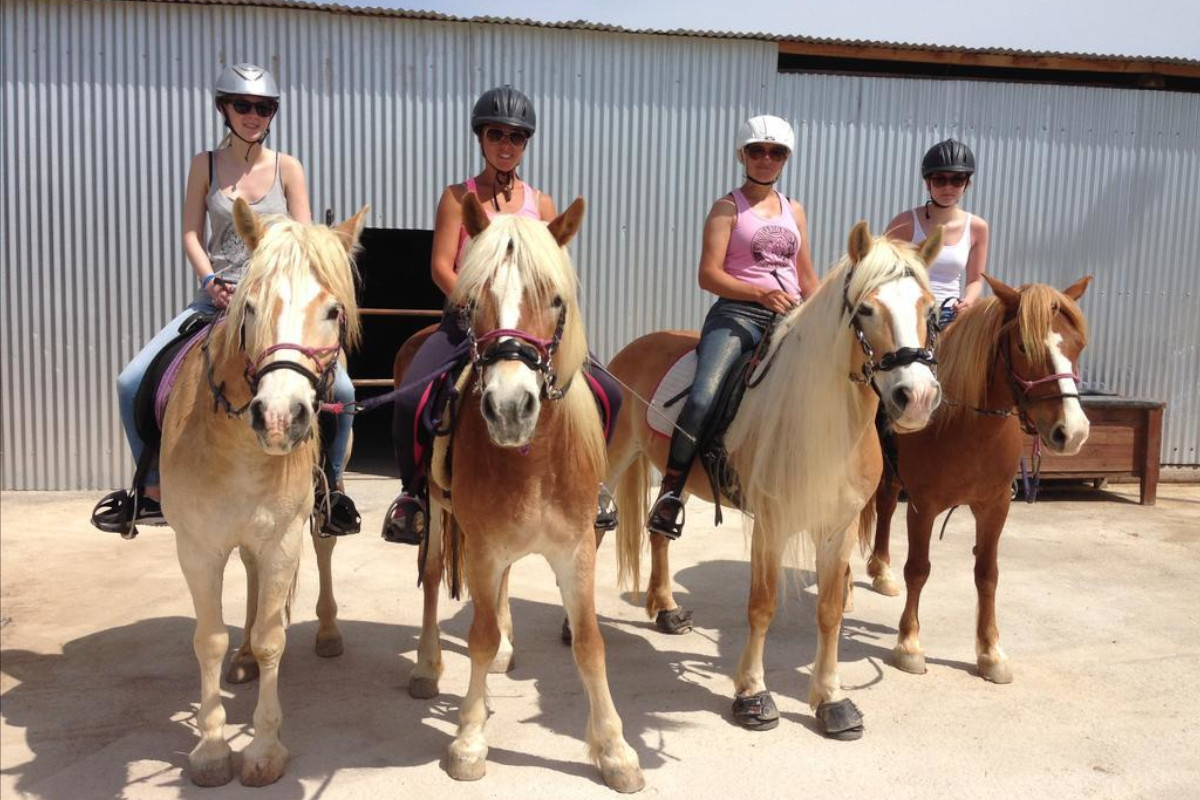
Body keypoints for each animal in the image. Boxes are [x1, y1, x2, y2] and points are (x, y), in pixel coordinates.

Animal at [158, 198, 366, 786]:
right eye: (247, 308)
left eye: (333, 311)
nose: (278, 418)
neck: (239, 449)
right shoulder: (197, 547)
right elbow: (208, 641)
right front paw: (210, 750)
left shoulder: (283, 540)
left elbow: (276, 638)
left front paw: (264, 749)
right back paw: (244, 655)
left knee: (324, 549)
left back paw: (326, 633)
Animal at [404, 193, 644, 792]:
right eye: (472, 302)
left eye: (556, 299)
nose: (510, 409)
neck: (533, 460)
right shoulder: (485, 547)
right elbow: (479, 637)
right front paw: (469, 740)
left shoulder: (577, 549)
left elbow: (589, 642)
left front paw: (615, 750)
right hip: (438, 515)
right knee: (432, 580)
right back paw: (425, 667)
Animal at [607, 221, 943, 739]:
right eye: (866, 308)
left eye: (929, 308)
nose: (917, 398)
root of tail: (634, 347)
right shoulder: (771, 523)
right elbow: (762, 605)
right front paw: (752, 695)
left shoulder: (839, 527)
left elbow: (830, 610)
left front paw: (832, 701)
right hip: (615, 458)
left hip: (671, 479)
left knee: (659, 530)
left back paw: (665, 610)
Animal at [866, 273, 1091, 684]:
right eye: (1023, 345)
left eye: (1078, 345)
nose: (1073, 432)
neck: (965, 425)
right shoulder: (923, 506)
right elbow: (918, 570)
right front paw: (910, 645)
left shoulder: (995, 506)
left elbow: (988, 574)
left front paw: (990, 652)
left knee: (886, 506)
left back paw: (881, 570)